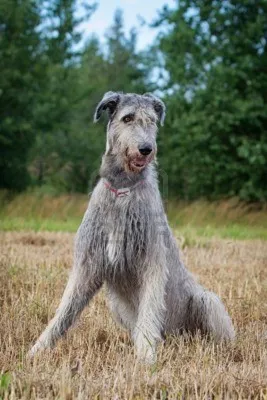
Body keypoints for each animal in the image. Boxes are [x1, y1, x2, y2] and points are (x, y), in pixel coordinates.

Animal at [29, 90, 234, 362]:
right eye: (127, 118)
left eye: (152, 120)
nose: (146, 149)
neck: (123, 187)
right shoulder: (87, 262)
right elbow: (65, 309)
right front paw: (38, 349)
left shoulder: (152, 260)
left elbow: (149, 307)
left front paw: (146, 357)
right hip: (117, 306)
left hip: (207, 301)